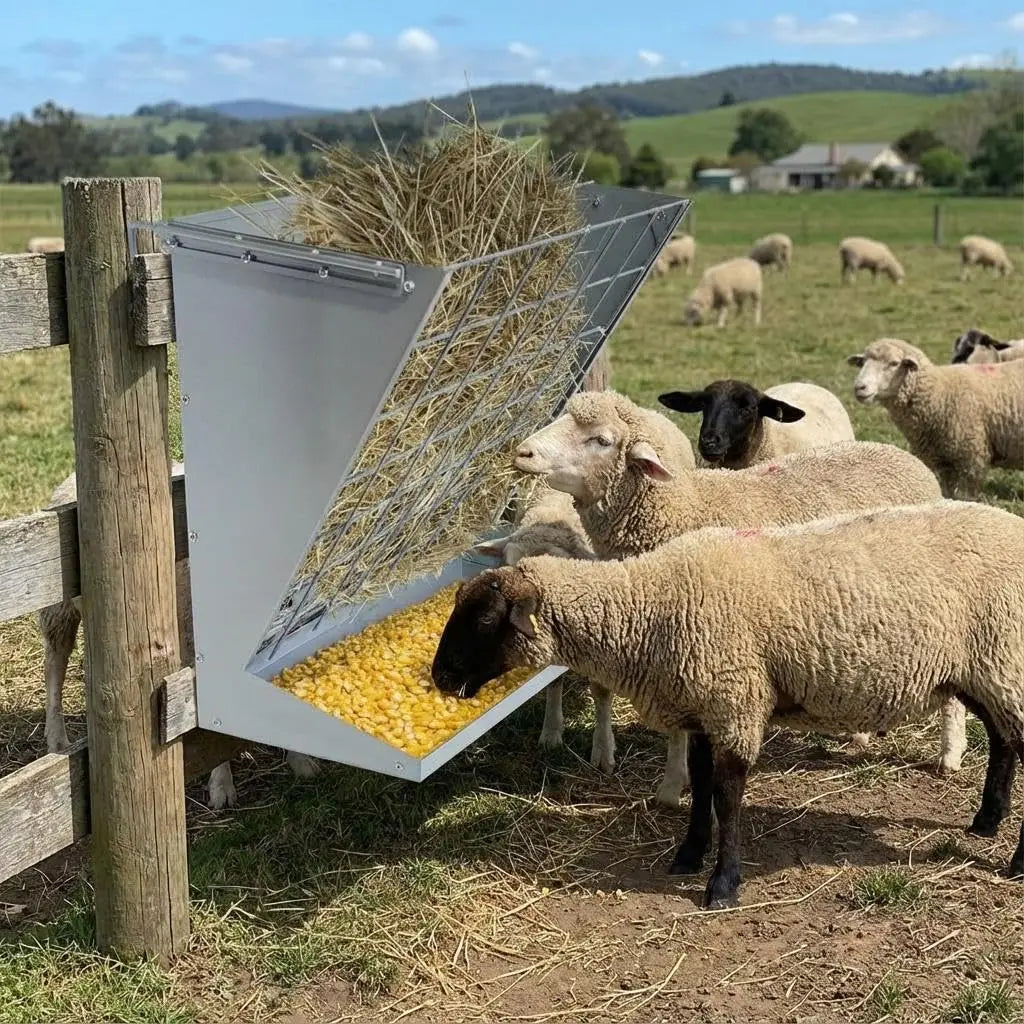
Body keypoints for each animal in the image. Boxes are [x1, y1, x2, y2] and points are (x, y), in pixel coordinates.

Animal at [431, 498, 1024, 909]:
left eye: (486, 618)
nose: (438, 677)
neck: (650, 604)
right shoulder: (701, 708)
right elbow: (699, 786)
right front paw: (689, 855)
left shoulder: (735, 701)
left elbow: (728, 796)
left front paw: (723, 885)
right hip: (986, 669)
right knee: (1003, 741)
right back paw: (986, 822)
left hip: (1004, 656)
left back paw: (1014, 861)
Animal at [848, 337, 1024, 501]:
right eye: (862, 362)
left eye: (894, 363)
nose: (859, 387)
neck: (939, 392)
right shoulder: (943, 461)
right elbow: (948, 492)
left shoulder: (971, 458)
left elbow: (965, 496)